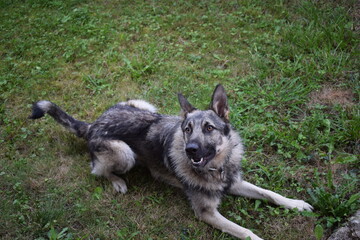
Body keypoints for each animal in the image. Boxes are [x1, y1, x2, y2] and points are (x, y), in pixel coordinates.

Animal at [29, 85, 312, 240]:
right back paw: (117, 181)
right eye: (187, 129)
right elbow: (246, 232)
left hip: (145, 104)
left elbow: (270, 194)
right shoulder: (207, 212)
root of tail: (94, 124)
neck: (216, 167)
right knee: (96, 170)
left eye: (209, 128)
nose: (190, 149)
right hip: (124, 153)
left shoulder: (234, 183)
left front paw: (296, 204)